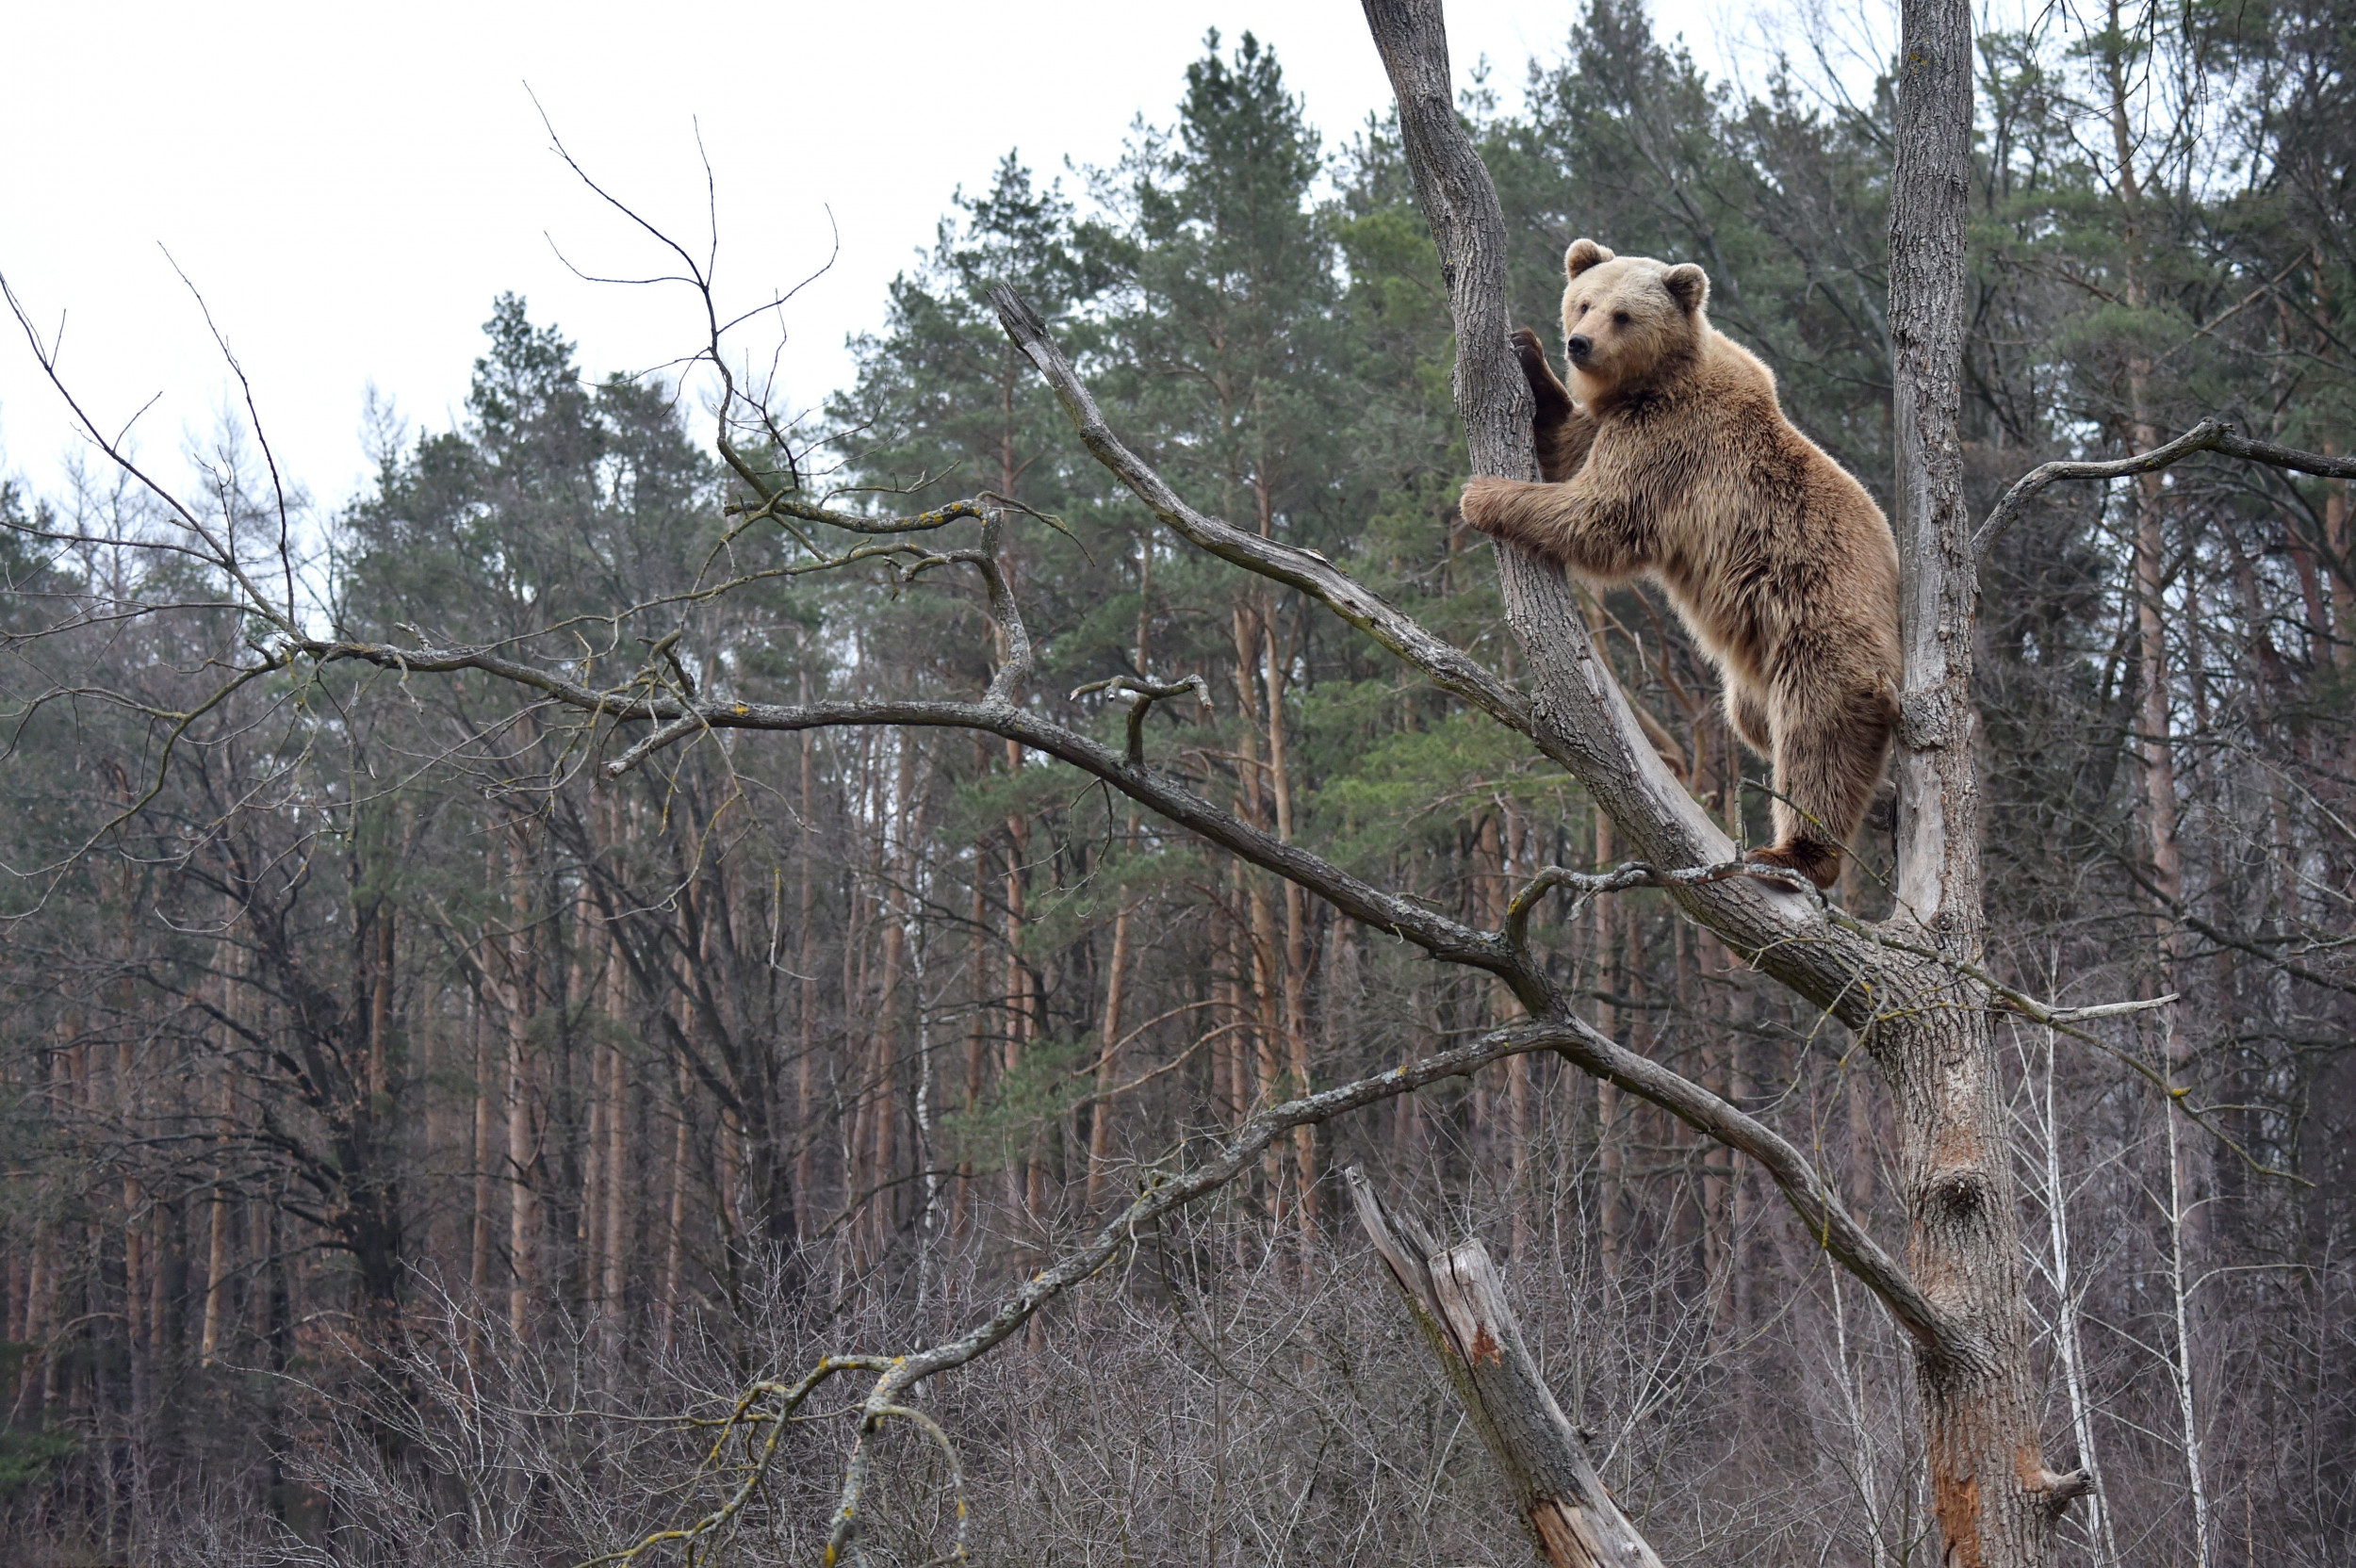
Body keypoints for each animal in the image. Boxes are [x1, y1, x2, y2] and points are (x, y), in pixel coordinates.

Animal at [1461, 237, 1904, 885]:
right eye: (1584, 302)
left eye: (1623, 315)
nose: (1579, 343)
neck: (1652, 381)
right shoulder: (1616, 421)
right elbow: (1567, 448)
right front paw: (1526, 355)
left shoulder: (1671, 442)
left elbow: (1601, 514)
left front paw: (1482, 495)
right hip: (1756, 676)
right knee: (1756, 723)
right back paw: (1884, 800)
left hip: (1823, 626)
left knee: (1818, 737)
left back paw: (1795, 852)